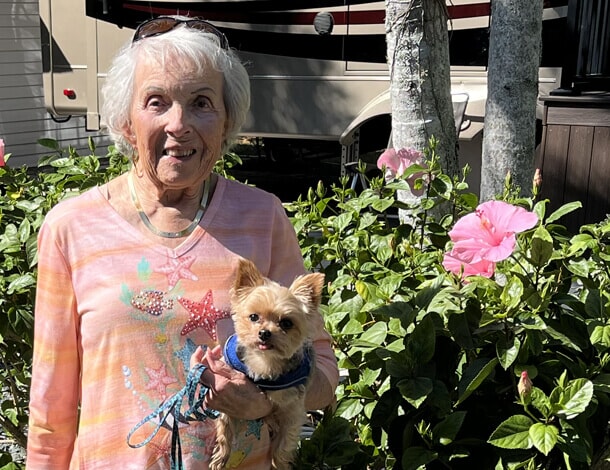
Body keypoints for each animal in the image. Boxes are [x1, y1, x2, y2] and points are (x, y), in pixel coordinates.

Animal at [209, 260, 324, 470]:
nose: (264, 333)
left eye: (286, 323)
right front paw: (220, 457)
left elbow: (283, 447)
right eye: (254, 317)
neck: (264, 362)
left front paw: (278, 465)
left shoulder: (292, 410)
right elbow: (224, 428)